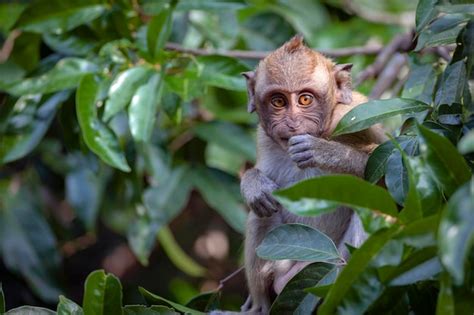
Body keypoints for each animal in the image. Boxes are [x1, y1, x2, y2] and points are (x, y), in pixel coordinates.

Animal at [239, 35, 386, 314]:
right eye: (278, 102)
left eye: (305, 100)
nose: (292, 123)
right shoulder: (264, 138)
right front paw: (254, 184)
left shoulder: (357, 117)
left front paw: (323, 151)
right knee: (261, 213)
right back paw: (261, 304)